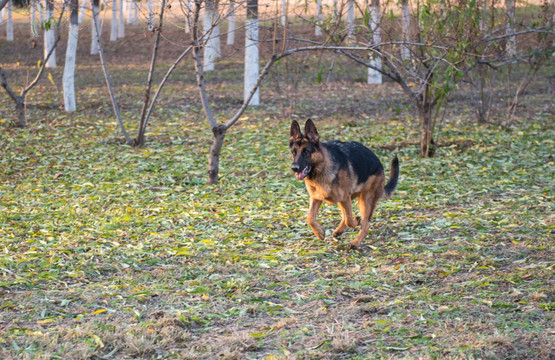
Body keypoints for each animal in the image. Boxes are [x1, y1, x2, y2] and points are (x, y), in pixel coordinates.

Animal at [292, 119, 400, 249]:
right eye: (294, 152)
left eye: (306, 152)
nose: (294, 168)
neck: (322, 167)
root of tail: (380, 164)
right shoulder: (316, 198)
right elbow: (309, 217)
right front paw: (319, 233)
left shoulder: (345, 197)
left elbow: (349, 220)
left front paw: (355, 221)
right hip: (343, 199)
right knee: (345, 216)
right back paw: (339, 231)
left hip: (365, 200)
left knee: (365, 225)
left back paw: (355, 242)